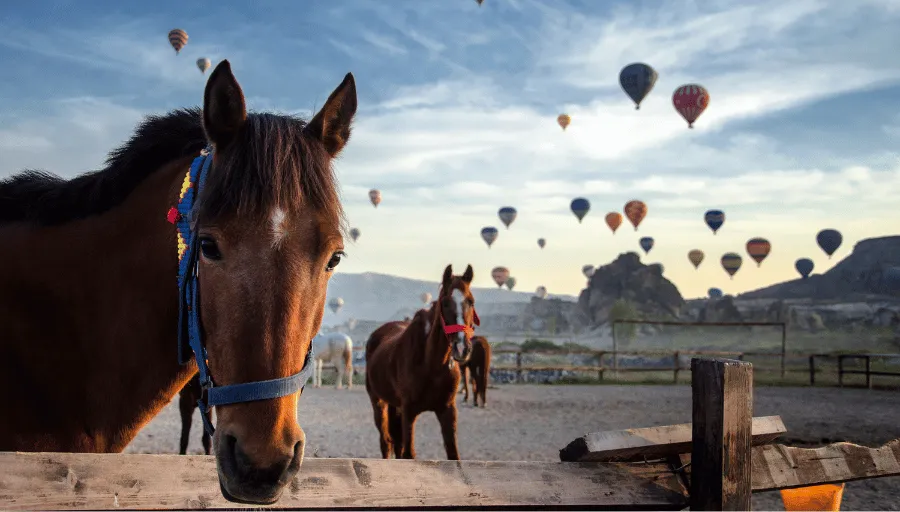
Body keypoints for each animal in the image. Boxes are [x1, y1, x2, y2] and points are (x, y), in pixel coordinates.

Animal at [365, 264, 479, 460]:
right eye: (445, 302)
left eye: (471, 301)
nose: (462, 348)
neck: (431, 365)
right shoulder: (409, 412)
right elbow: (408, 453)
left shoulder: (447, 410)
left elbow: (453, 454)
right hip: (378, 402)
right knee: (386, 442)